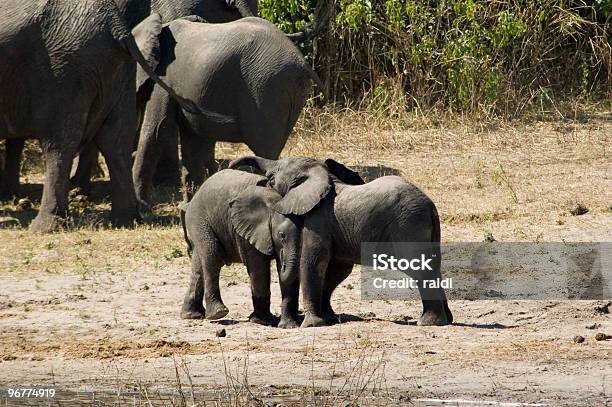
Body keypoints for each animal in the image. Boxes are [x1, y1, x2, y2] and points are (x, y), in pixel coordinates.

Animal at [0, 0, 225, 231]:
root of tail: (116, 27)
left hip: (63, 69)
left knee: (59, 142)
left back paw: (45, 227)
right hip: (113, 69)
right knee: (115, 141)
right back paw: (125, 219)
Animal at [131, 17, 322, 206]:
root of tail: (301, 62)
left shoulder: (163, 79)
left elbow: (156, 130)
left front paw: (143, 205)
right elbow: (191, 140)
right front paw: (188, 206)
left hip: (267, 90)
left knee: (265, 150)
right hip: (290, 91)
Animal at [178, 169, 302, 328]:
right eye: (282, 235)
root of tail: (190, 202)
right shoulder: (246, 233)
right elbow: (259, 268)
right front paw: (264, 321)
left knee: (198, 265)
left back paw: (192, 315)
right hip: (200, 221)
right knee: (212, 256)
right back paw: (218, 314)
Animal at [230, 156, 454, 328]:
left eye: (274, 174)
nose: (231, 165)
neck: (323, 176)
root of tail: (430, 206)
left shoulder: (318, 220)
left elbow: (312, 262)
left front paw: (311, 325)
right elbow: (338, 268)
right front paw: (328, 318)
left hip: (408, 225)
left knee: (419, 268)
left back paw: (429, 323)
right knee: (434, 266)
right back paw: (446, 320)